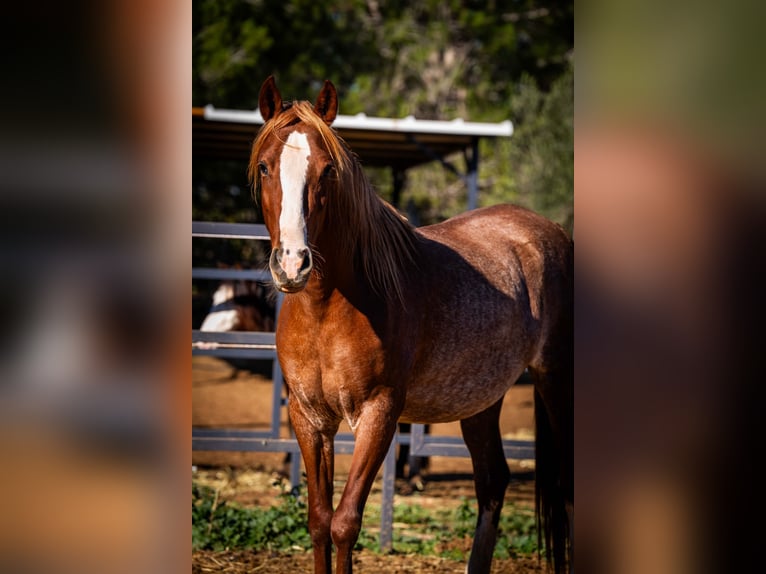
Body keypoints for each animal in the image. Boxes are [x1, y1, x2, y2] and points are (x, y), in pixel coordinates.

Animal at [248, 76, 573, 574]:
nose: (292, 263)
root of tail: (552, 232)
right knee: (493, 483)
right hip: (481, 400)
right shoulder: (308, 417)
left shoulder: (379, 414)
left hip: (554, 379)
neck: (328, 310)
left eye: (327, 171)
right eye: (265, 167)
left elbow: (345, 522)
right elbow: (319, 521)